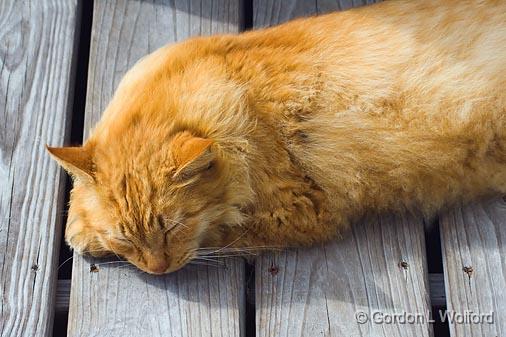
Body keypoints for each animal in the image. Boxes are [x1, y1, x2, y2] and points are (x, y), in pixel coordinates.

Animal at [47, 0, 506, 272]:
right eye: (126, 238)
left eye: (173, 228)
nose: (159, 271)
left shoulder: (299, 210)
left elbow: (219, 235)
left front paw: (78, 231)